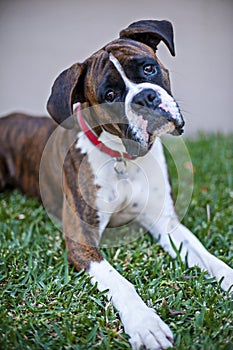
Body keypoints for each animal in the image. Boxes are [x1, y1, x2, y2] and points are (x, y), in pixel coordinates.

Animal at [0, 19, 233, 350]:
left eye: (148, 69)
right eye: (110, 95)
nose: (145, 98)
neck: (123, 157)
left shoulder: (166, 225)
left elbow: (207, 257)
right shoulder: (82, 243)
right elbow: (119, 281)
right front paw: (146, 323)